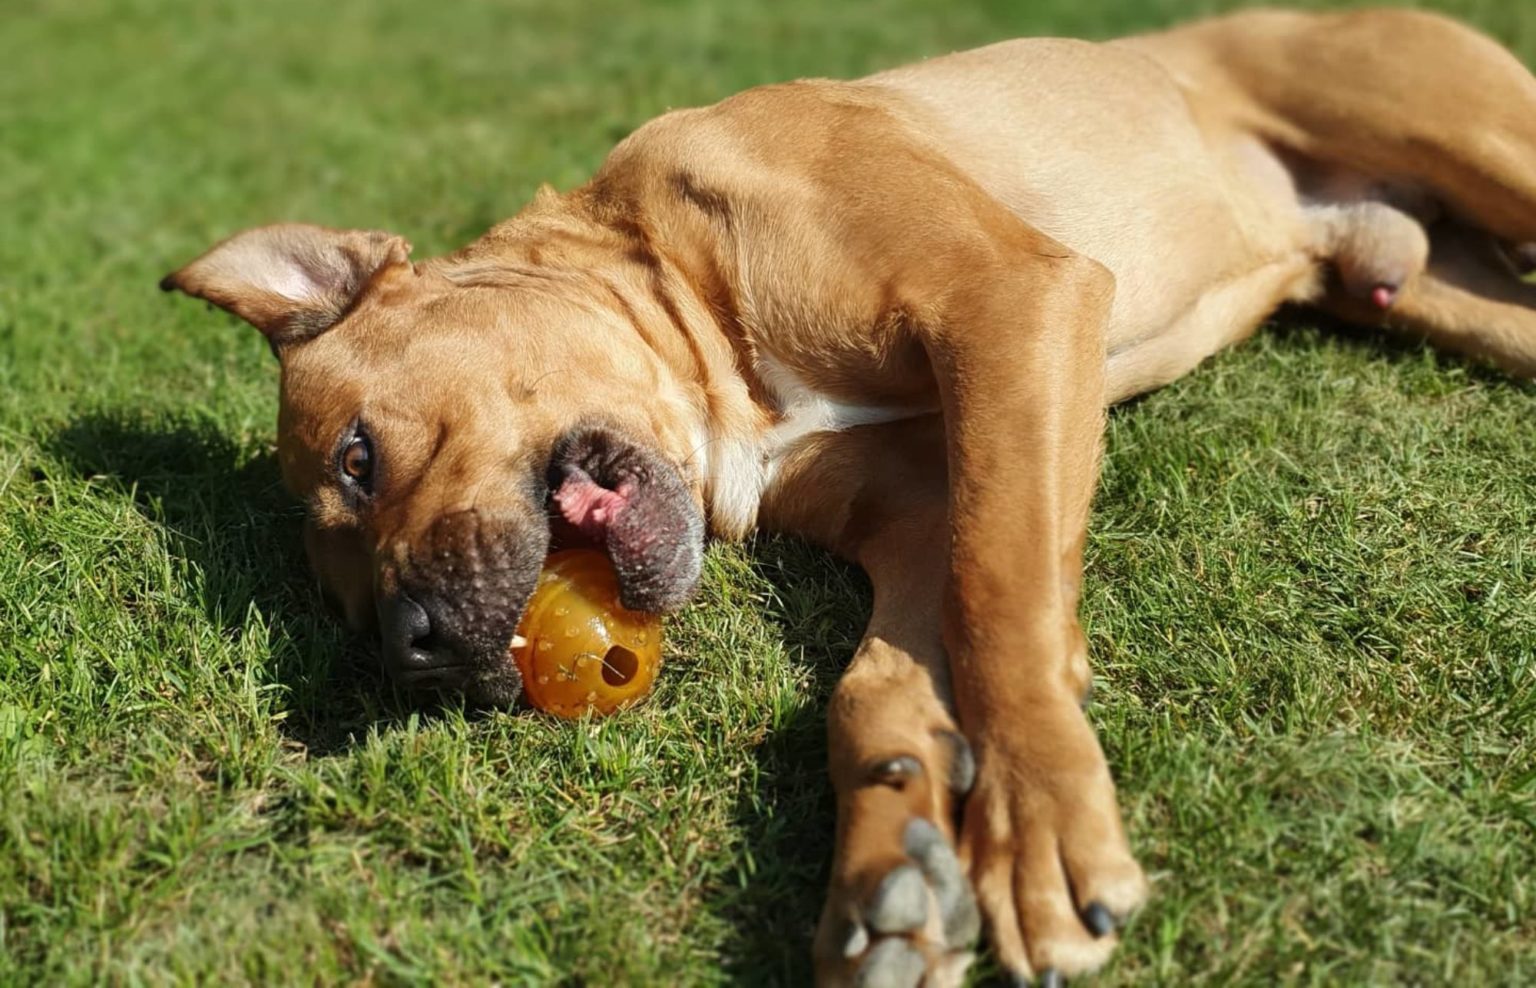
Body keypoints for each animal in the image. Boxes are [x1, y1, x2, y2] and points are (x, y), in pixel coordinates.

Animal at [162, 9, 1536, 988]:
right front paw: (890, 868)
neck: (694, 312)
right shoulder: (916, 515)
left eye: (359, 460)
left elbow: (1002, 588)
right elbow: (878, 680)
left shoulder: (1008, 302)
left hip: (1476, 143)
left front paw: (1036, 821)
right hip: (1470, 302)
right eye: (346, 611)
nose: (419, 648)